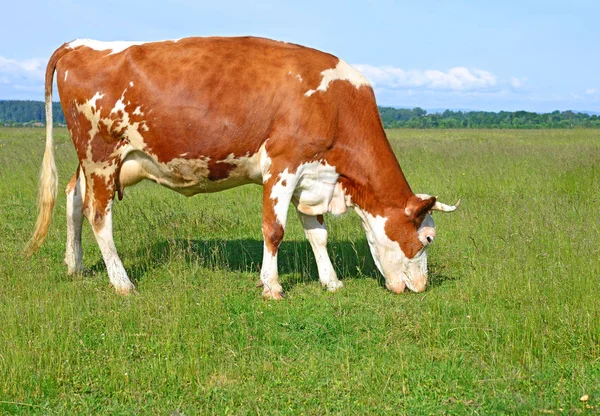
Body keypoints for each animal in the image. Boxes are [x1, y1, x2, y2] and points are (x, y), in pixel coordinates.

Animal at [24, 35, 460, 298]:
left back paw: (75, 266)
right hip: (101, 154)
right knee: (98, 215)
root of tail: (80, 44)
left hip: (97, 162)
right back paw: (122, 282)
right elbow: (275, 230)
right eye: (427, 239)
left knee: (72, 198)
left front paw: (331, 281)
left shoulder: (313, 176)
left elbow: (317, 235)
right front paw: (272, 286)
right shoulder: (283, 165)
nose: (422, 286)